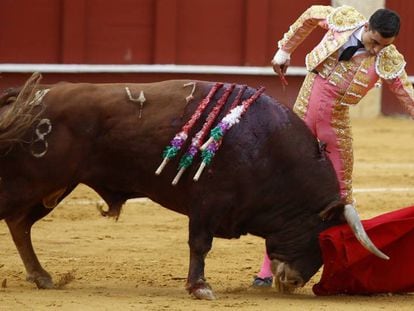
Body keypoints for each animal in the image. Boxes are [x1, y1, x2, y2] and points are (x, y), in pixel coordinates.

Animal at [0, 73, 388, 300]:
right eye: (318, 237)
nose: (293, 282)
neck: (269, 149)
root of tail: (31, 96)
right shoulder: (207, 202)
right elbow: (200, 244)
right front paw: (200, 287)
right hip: (34, 180)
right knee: (15, 218)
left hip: (52, 187)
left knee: (20, 224)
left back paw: (41, 276)